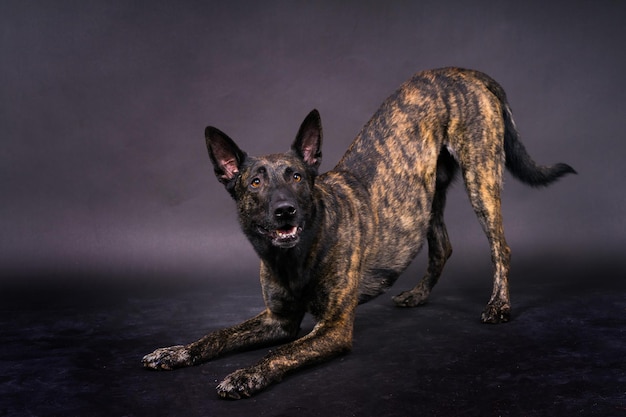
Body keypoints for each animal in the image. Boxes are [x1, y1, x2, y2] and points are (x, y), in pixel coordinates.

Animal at [143, 67, 576, 396]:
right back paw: (417, 295)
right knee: (442, 246)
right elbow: (218, 334)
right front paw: (176, 351)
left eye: (297, 177)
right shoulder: (277, 320)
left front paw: (245, 374)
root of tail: (462, 71)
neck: (295, 255)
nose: (284, 211)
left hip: (480, 176)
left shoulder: (333, 329)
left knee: (500, 246)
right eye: (255, 182)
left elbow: (278, 354)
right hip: (426, 195)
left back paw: (498, 305)